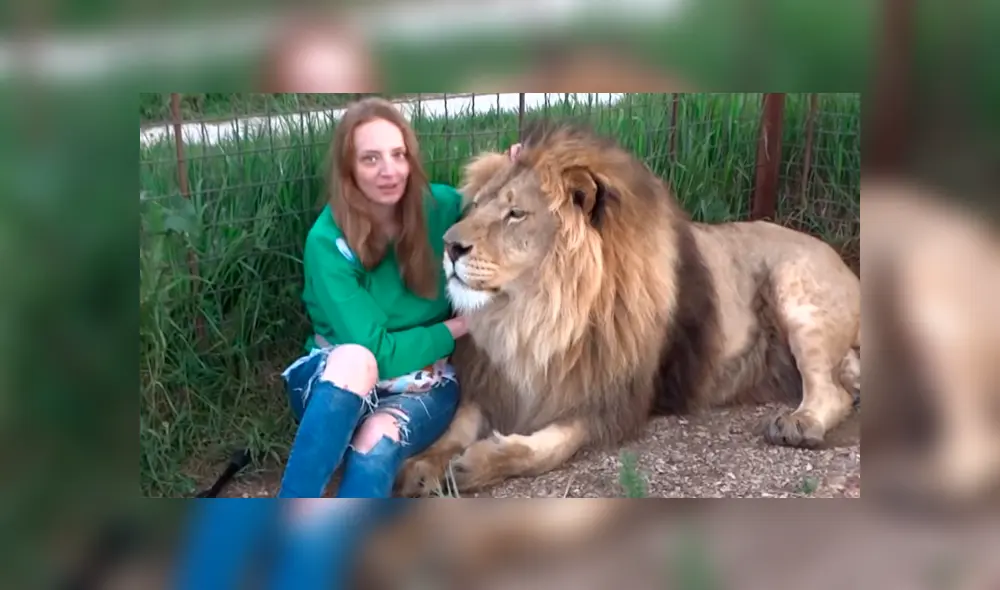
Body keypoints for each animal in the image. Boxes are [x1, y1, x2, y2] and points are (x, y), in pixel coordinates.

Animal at [395, 120, 861, 497]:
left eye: (515, 213)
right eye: (477, 205)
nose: (449, 246)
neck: (535, 312)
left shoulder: (607, 401)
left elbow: (545, 450)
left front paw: (478, 463)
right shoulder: (492, 379)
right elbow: (455, 428)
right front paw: (420, 467)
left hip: (795, 290)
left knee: (831, 391)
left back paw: (799, 424)